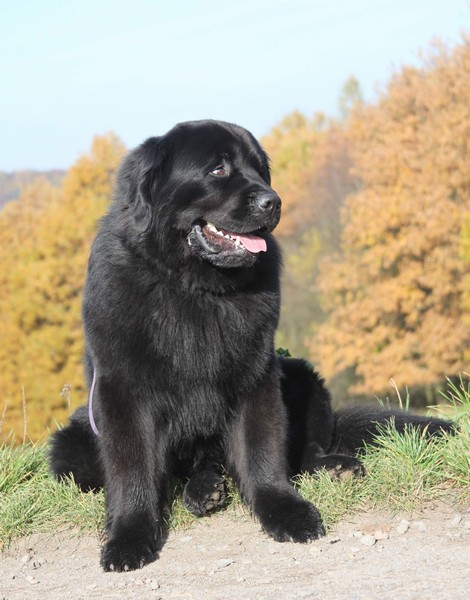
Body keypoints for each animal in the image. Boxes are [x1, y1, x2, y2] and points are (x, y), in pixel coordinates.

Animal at [50, 120, 453, 572]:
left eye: (260, 171)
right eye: (218, 168)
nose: (273, 202)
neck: (194, 289)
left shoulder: (256, 375)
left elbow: (262, 453)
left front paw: (286, 512)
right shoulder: (122, 391)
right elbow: (132, 470)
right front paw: (128, 539)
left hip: (299, 373)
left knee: (304, 452)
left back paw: (328, 469)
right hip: (71, 443)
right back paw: (203, 490)